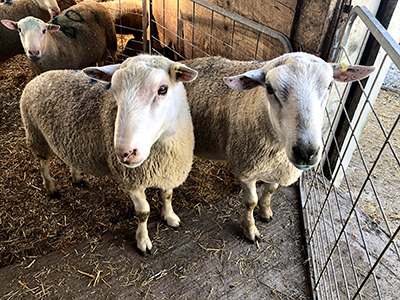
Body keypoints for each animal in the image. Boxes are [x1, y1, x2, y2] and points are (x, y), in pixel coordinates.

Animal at [20, 54, 198, 253]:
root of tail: (38, 77)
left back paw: (77, 178)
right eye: (114, 91)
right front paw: (143, 241)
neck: (163, 149)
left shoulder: (168, 171)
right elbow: (143, 212)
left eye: (162, 89)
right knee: (43, 165)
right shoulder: (130, 180)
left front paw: (170, 217)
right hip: (36, 135)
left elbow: (167, 196)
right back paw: (51, 189)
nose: (125, 153)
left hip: (68, 141)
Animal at [183, 52, 376, 243]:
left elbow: (270, 190)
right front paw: (250, 230)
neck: (277, 149)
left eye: (330, 85)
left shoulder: (278, 168)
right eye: (269, 88)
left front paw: (265, 212)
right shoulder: (246, 170)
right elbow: (250, 203)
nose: (306, 152)